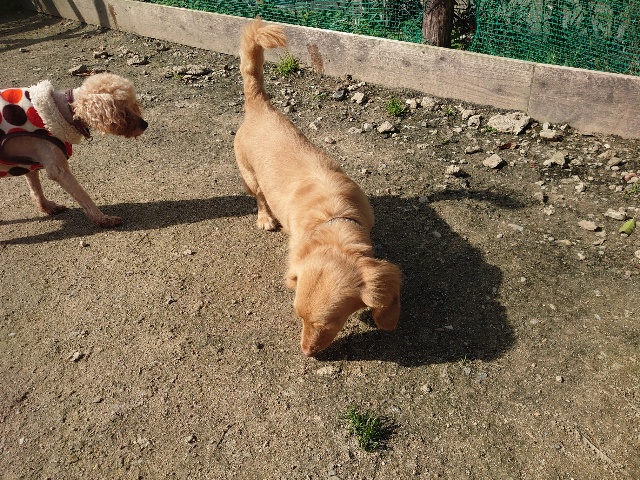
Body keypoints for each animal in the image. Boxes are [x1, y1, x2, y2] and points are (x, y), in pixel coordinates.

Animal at [0, 73, 147, 226]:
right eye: (122, 109)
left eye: (133, 104)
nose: (145, 124)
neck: (64, 110)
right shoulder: (58, 169)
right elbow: (83, 195)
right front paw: (103, 218)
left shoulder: (29, 164)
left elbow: (36, 189)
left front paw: (47, 206)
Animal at [234, 19, 402, 356]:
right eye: (298, 317)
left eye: (327, 324)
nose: (306, 352)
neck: (331, 219)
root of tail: (259, 106)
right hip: (250, 176)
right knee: (259, 197)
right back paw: (265, 218)